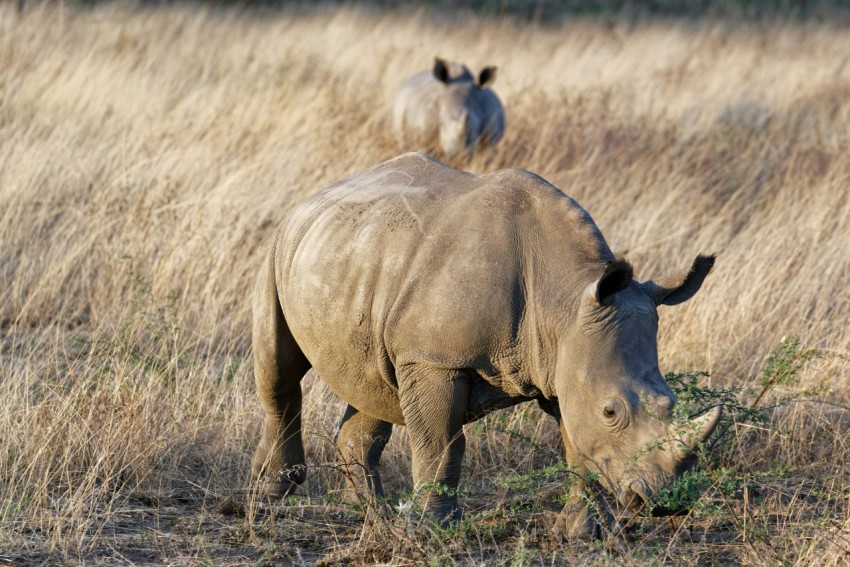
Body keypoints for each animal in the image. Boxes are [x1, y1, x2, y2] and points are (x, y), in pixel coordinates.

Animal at [251, 152, 720, 539]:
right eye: (611, 411)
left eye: (671, 400)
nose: (663, 505)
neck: (565, 297)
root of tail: (314, 198)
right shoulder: (434, 359)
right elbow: (442, 442)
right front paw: (434, 530)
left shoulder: (562, 360)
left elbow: (577, 447)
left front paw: (585, 534)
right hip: (278, 249)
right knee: (280, 370)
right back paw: (275, 491)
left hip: (359, 259)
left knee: (371, 383)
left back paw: (370, 512)